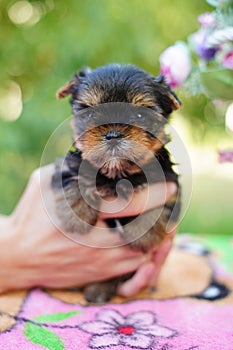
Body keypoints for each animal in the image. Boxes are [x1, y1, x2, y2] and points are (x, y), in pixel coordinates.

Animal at [52, 63, 181, 304]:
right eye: (89, 112)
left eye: (141, 114)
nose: (113, 134)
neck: (118, 172)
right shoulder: (68, 165)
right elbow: (72, 180)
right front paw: (77, 216)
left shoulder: (170, 182)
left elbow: (158, 206)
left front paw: (142, 233)